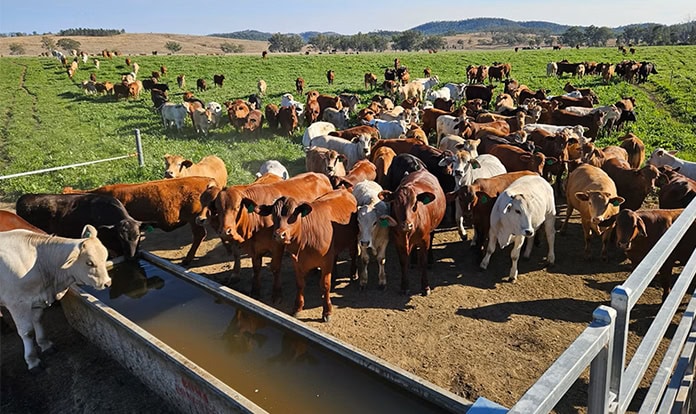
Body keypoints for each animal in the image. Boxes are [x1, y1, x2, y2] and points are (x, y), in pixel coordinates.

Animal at [0, 225, 110, 371]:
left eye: (105, 257)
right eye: (89, 263)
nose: (107, 283)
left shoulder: (37, 298)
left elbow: (38, 320)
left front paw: (45, 345)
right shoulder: (17, 304)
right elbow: (27, 332)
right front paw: (32, 360)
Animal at [248, 189, 357, 322]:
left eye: (294, 215)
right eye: (273, 214)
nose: (279, 235)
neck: (306, 239)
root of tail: (344, 190)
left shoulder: (326, 261)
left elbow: (325, 285)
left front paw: (327, 311)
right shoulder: (297, 262)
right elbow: (300, 284)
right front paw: (297, 308)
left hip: (353, 239)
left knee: (353, 254)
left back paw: (353, 274)